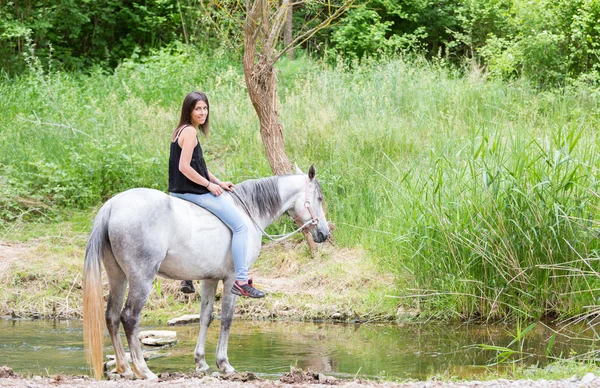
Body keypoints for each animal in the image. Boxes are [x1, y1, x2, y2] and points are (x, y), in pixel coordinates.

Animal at [81, 165, 328, 380]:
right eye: (320, 198)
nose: (324, 233)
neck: (248, 213)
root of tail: (113, 206)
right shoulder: (231, 280)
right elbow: (227, 318)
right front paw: (224, 364)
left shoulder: (210, 279)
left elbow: (205, 317)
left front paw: (201, 362)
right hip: (141, 279)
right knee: (129, 317)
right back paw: (143, 370)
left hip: (118, 277)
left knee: (112, 317)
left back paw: (124, 369)